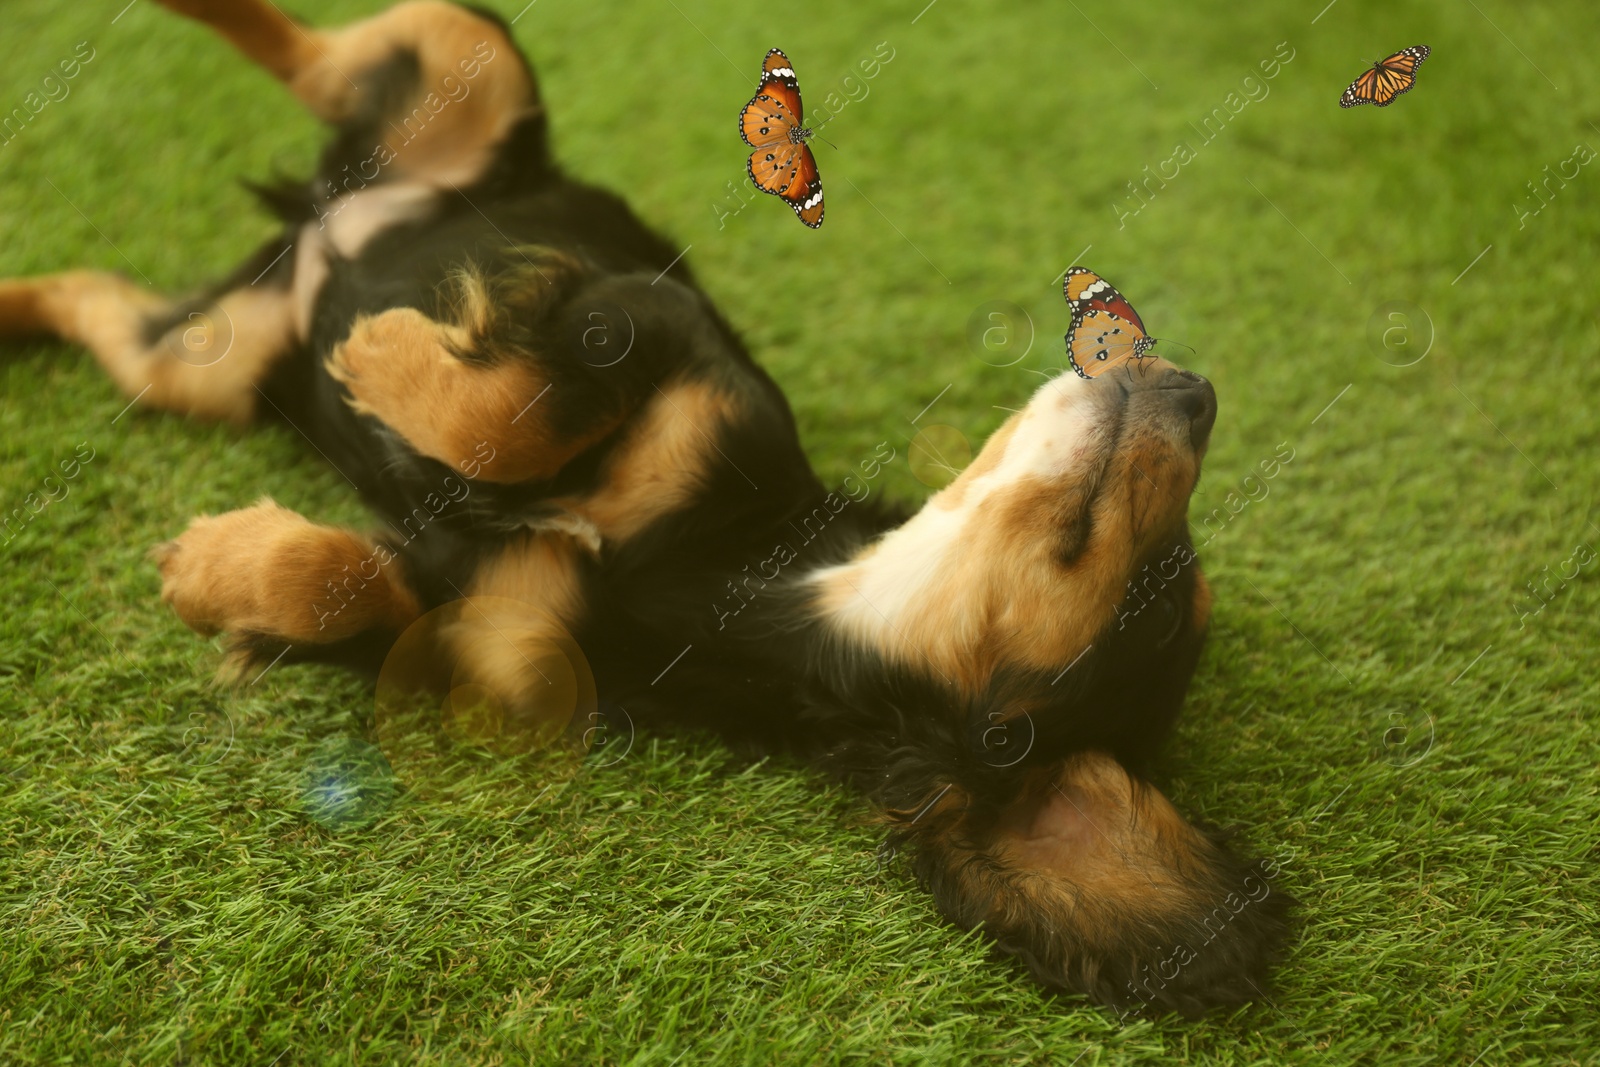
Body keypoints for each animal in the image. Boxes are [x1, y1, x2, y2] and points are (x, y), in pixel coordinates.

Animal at [0, 0, 1286, 1017]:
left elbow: (350, 582)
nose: (1202, 392)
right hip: (474, 69)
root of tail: (314, 216)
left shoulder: (490, 620)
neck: (736, 575)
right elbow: (520, 409)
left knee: (89, 293)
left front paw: (219, 566)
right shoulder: (644, 325)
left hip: (197, 363)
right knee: (320, 47)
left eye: (1155, 576)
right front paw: (380, 360)